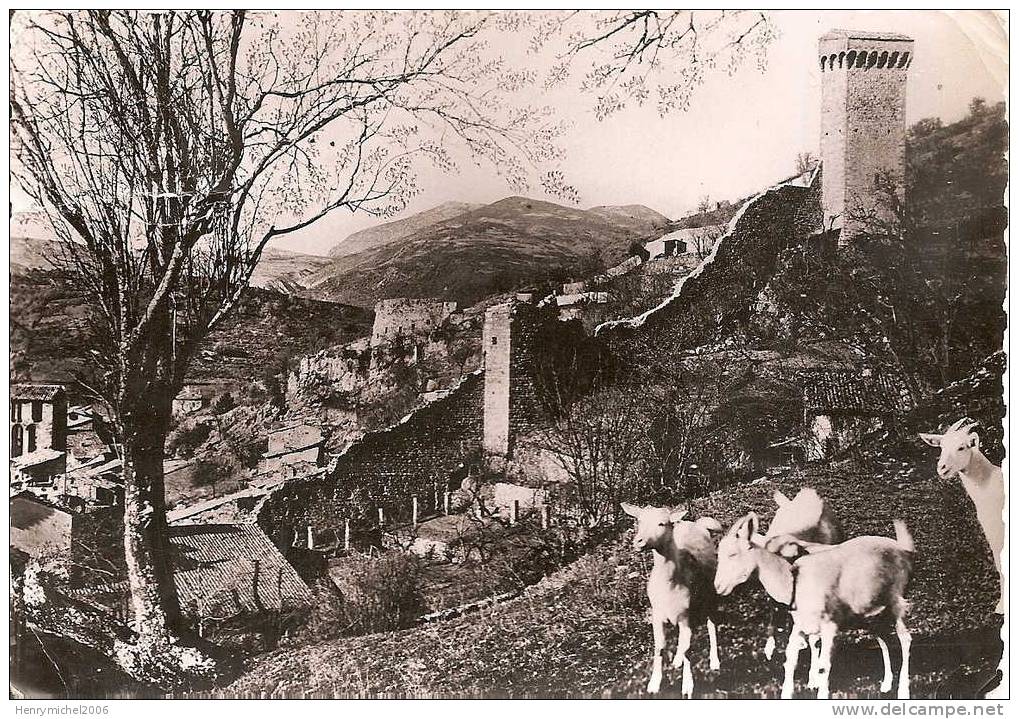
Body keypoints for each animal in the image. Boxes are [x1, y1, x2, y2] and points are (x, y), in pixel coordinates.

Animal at [619, 499, 725, 692]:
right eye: (639, 521)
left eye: (662, 523)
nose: (638, 541)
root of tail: (697, 524)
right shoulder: (658, 616)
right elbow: (660, 647)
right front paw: (654, 684)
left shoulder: (686, 616)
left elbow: (688, 649)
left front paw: (688, 686)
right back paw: (677, 660)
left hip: (710, 595)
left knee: (711, 625)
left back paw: (714, 662)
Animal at [709, 513, 917, 696]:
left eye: (732, 554)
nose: (718, 586)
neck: (793, 579)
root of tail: (903, 549)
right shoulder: (801, 623)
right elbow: (790, 659)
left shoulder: (830, 625)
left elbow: (824, 666)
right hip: (872, 611)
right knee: (884, 640)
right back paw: (886, 685)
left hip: (896, 600)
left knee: (905, 639)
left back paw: (903, 691)